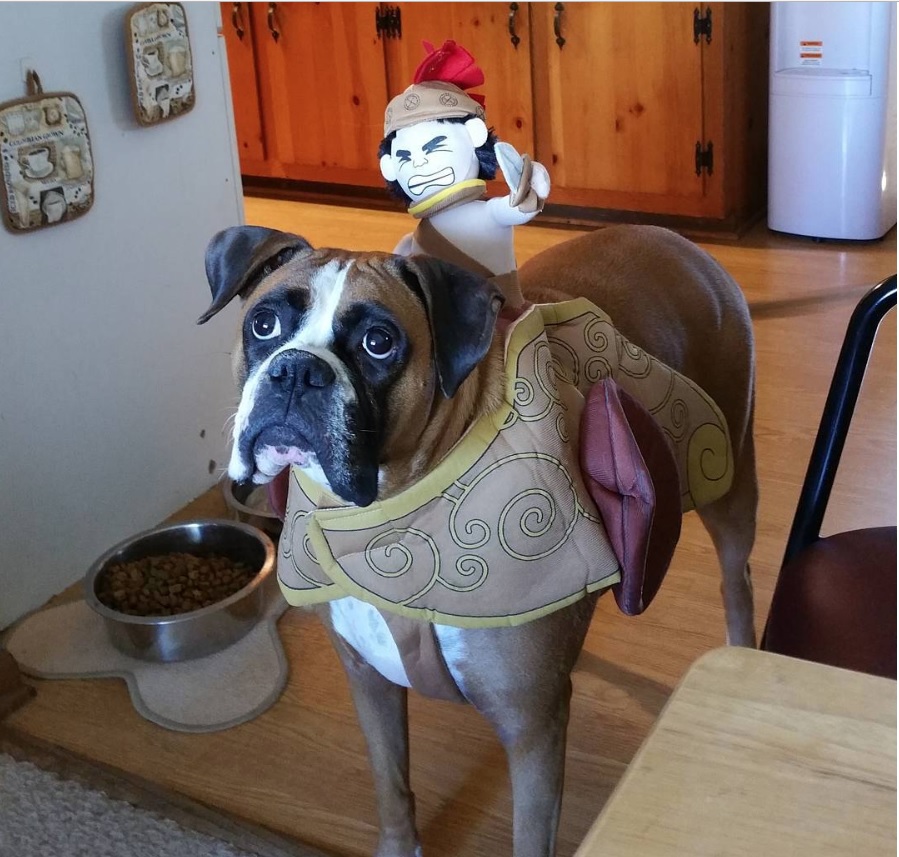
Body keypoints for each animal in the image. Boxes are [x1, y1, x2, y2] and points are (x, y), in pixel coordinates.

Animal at [200, 222, 756, 856]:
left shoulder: (533, 729)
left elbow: (530, 838)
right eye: (264, 324)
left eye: (378, 342)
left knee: (737, 580)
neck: (386, 517)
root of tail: (676, 241)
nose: (296, 371)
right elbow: (392, 786)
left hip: (731, 484)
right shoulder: (369, 682)